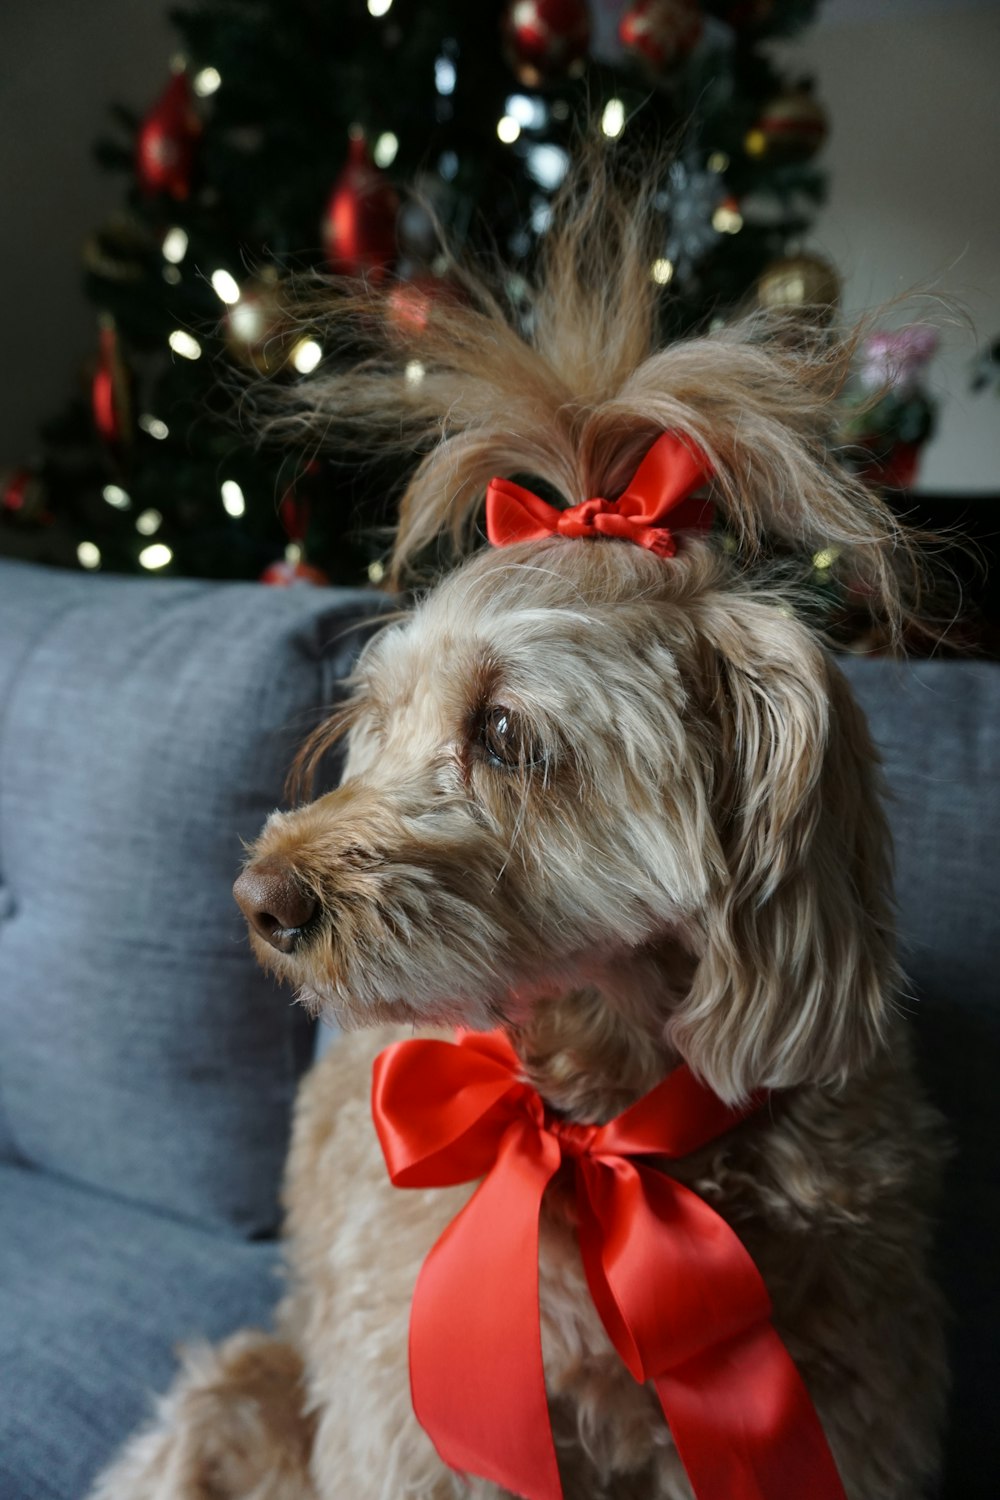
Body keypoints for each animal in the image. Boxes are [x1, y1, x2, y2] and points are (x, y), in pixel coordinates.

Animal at [89, 161, 953, 1500]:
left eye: (502, 733)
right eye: (375, 723)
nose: (261, 902)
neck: (606, 1116)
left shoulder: (853, 1404)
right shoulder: (417, 1418)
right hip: (236, 1396)